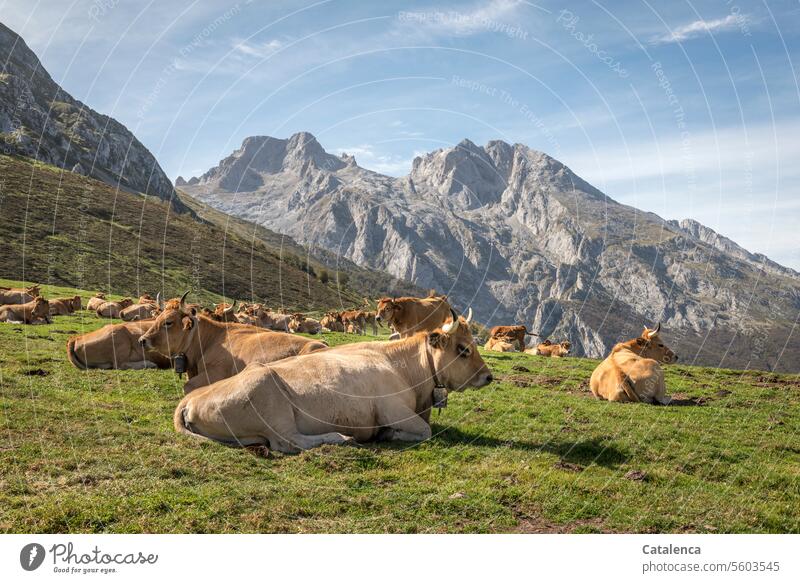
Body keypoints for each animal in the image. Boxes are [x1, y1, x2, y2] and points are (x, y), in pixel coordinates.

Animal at [138, 292, 328, 392]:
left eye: (168, 322)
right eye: (157, 317)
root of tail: (323, 343)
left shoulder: (216, 372)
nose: (142, 340)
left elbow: (188, 386)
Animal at [172, 308, 490, 454]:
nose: (488, 376)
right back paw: (340, 437)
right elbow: (425, 430)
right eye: (463, 349)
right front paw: (388, 435)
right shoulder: (394, 410)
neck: (403, 367)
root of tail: (188, 399)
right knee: (289, 441)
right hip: (270, 399)